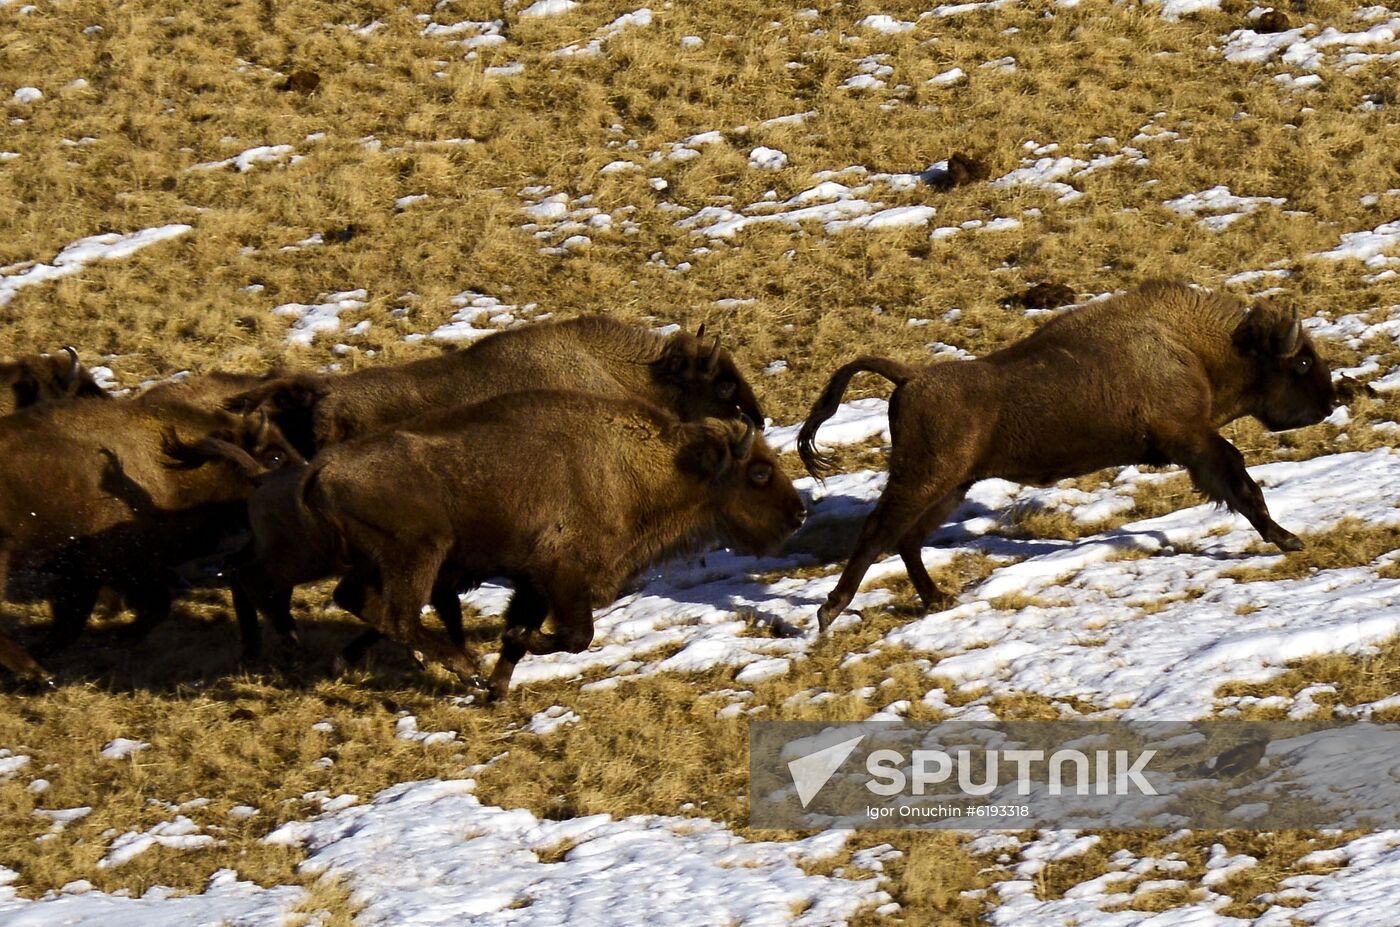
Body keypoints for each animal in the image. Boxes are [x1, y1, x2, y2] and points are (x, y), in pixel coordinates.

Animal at [240, 389, 806, 700]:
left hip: (379, 563)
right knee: (395, 614)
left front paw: (496, 690)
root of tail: (320, 469)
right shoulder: (561, 577)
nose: (798, 514)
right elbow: (574, 636)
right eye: (758, 472)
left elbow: (526, 634)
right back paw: (460, 664)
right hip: (417, 555)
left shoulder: (534, 582)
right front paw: (496, 668)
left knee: (358, 602)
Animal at [800, 280, 1332, 635]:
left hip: (950, 487)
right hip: (922, 479)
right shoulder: (1194, 440)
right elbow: (1242, 485)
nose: (1331, 401)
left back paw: (936, 599)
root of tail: (910, 376)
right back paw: (829, 612)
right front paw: (1289, 539)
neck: (1192, 348)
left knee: (907, 540)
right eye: (1302, 362)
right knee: (879, 532)